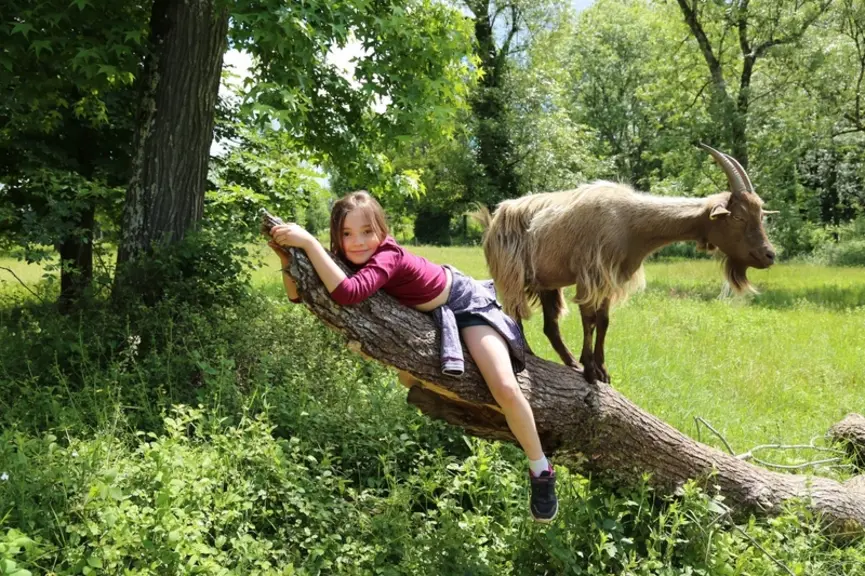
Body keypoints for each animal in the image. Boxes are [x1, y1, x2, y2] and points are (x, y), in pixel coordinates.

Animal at [477, 144, 777, 384]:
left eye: (760, 214)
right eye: (738, 217)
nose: (769, 255)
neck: (631, 221)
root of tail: (494, 218)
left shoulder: (612, 277)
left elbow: (604, 321)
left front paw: (600, 369)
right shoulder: (591, 273)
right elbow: (589, 319)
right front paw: (590, 371)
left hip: (548, 284)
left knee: (549, 325)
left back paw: (569, 361)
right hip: (512, 273)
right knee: (514, 311)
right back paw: (528, 352)